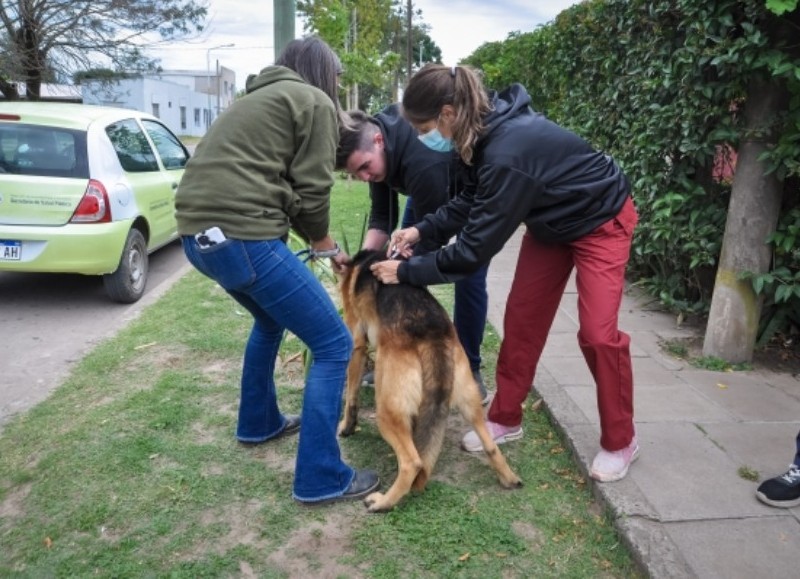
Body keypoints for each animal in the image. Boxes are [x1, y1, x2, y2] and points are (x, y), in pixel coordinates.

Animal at [340, 249, 520, 512]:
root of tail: (431, 334)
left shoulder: (356, 345)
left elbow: (350, 396)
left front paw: (346, 426)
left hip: (385, 410)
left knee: (412, 462)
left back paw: (384, 502)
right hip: (470, 403)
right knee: (490, 445)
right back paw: (509, 478)